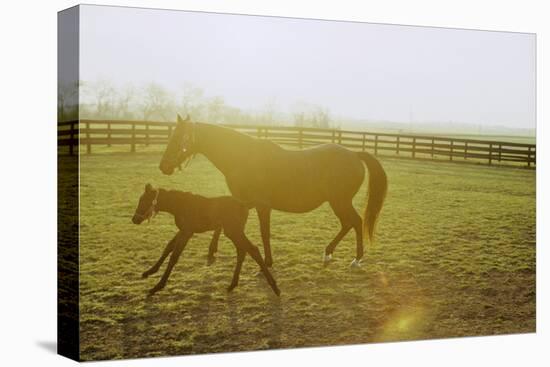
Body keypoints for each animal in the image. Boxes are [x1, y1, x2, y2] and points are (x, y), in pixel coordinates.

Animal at [132, 183, 282, 298]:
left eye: (144, 201)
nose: (134, 219)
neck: (180, 204)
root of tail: (244, 204)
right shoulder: (183, 230)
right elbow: (168, 247)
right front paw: (149, 272)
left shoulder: (187, 232)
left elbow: (174, 256)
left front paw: (157, 286)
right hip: (233, 232)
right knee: (242, 251)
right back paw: (232, 285)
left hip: (233, 231)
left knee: (252, 249)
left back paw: (275, 288)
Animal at [158, 115, 388, 270]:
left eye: (179, 138)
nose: (164, 166)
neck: (243, 158)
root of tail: (354, 154)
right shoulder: (242, 202)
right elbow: (221, 222)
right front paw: (211, 253)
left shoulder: (262, 206)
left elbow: (264, 232)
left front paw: (267, 263)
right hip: (338, 202)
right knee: (348, 224)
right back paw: (328, 253)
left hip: (339, 201)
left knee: (355, 222)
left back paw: (356, 259)